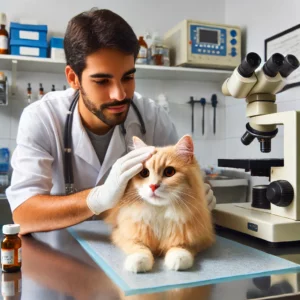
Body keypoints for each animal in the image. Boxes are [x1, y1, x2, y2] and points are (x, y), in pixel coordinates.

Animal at [104, 135, 214, 274]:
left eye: (169, 172)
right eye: (144, 173)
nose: (153, 186)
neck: (159, 211)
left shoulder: (200, 238)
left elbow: (181, 247)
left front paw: (179, 259)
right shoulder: (124, 234)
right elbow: (139, 247)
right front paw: (138, 261)